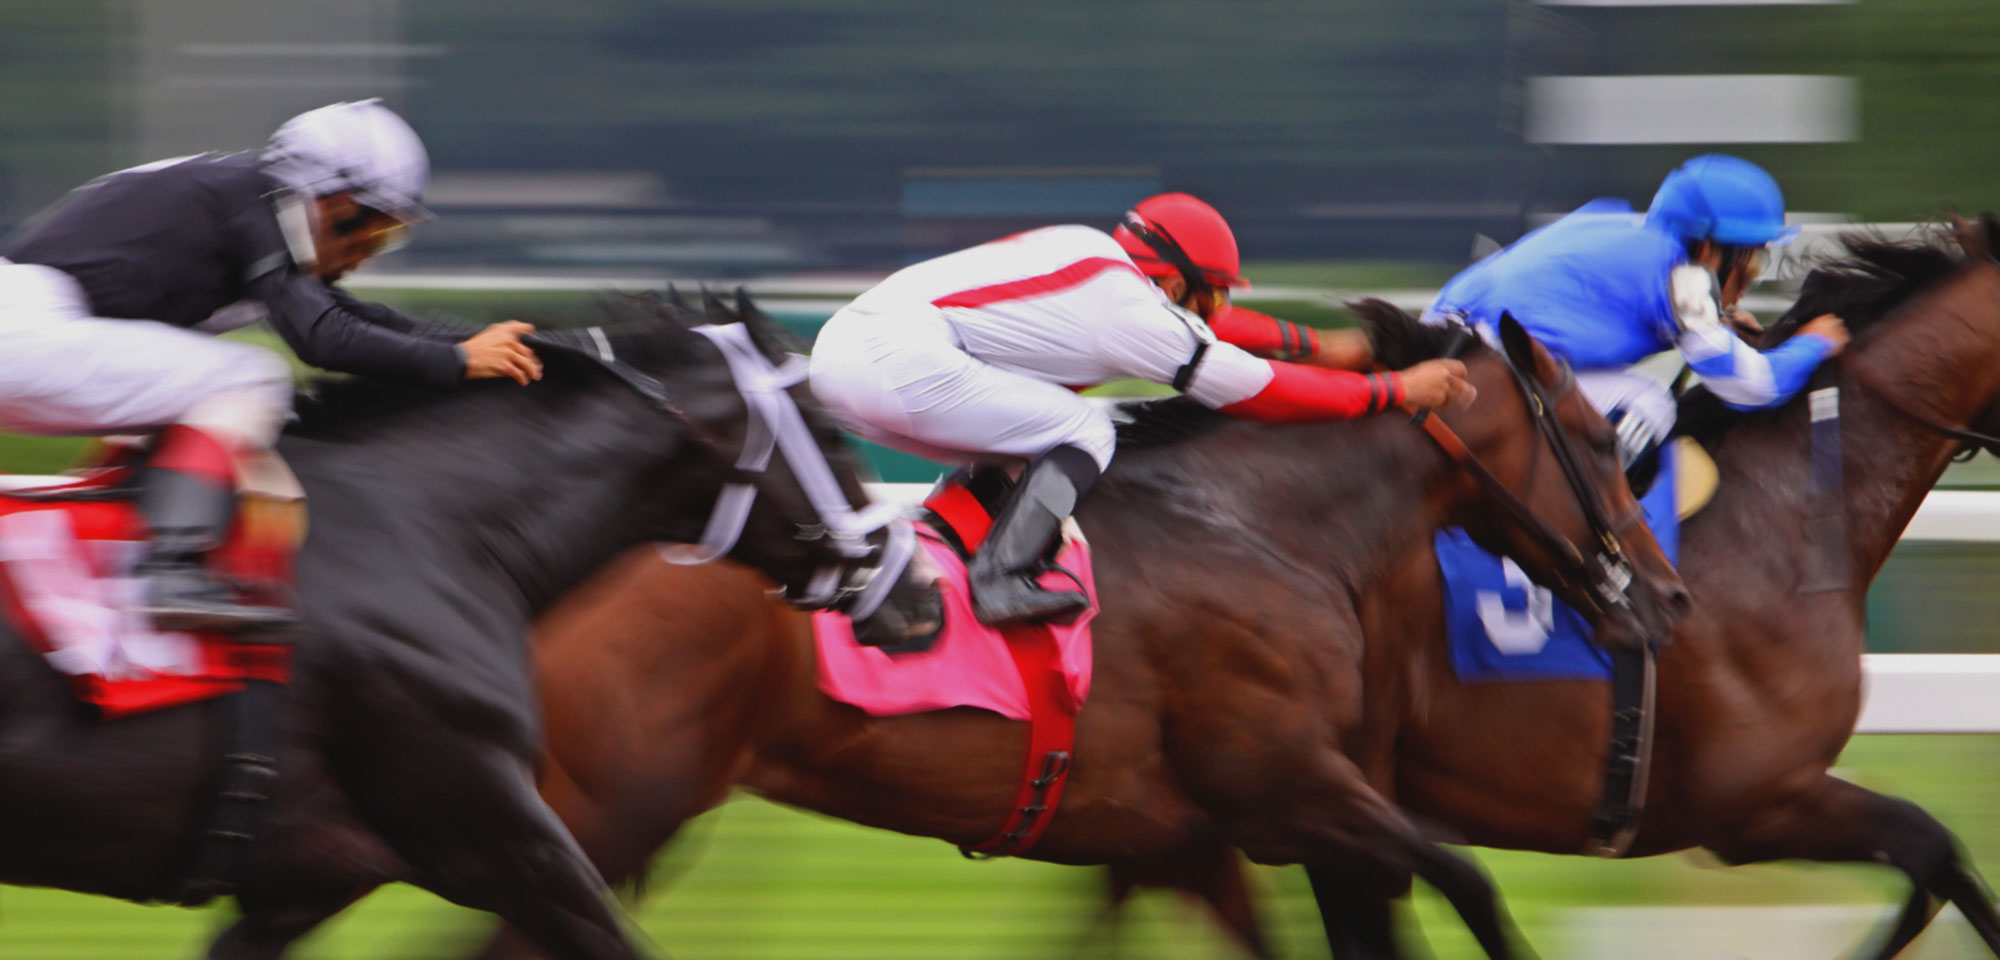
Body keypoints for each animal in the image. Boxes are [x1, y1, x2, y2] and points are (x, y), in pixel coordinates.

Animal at [454, 312, 1688, 956]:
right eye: (1598, 438)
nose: (1670, 600)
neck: (1259, 526)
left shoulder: (1173, 837)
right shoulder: (1287, 783)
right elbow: (1467, 878)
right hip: (613, 806)